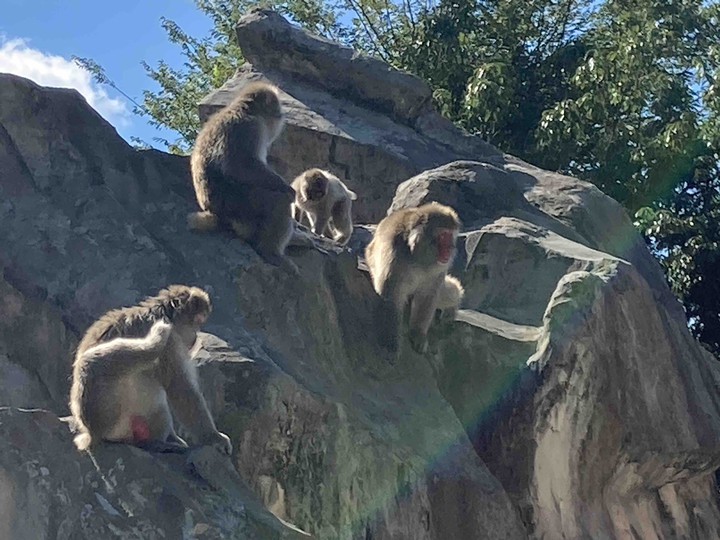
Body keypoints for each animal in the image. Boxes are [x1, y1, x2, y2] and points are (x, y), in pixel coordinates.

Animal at [69, 285, 232, 456]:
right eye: (198, 321)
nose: (195, 337)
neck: (161, 315)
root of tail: (91, 434)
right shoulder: (171, 342)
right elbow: (180, 387)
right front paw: (213, 437)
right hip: (112, 419)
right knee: (93, 362)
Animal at [187, 81, 298, 274]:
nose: (281, 115)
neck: (245, 110)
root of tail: (216, 214)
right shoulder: (248, 127)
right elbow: (238, 166)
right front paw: (287, 188)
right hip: (241, 205)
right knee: (279, 201)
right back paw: (270, 252)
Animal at [365, 202, 461, 354]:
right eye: (443, 236)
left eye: (450, 236)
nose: (450, 249)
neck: (417, 256)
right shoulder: (393, 252)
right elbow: (391, 296)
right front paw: (390, 345)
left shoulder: (438, 269)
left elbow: (427, 296)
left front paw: (418, 334)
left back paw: (453, 306)